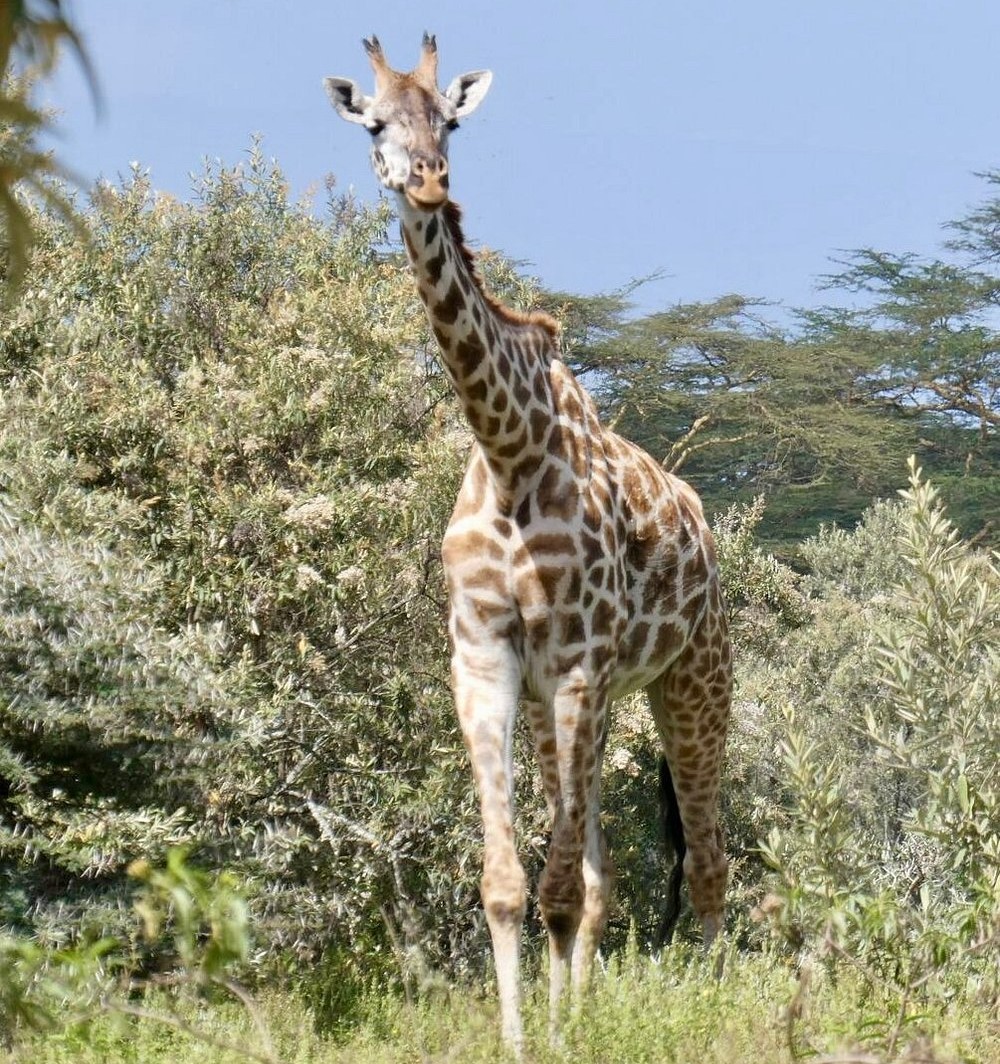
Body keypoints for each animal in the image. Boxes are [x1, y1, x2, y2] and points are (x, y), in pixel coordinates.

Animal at [325, 35, 732, 1055]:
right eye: (375, 125)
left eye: (452, 121)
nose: (427, 180)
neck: (509, 451)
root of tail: (706, 528)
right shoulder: (485, 660)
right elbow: (513, 886)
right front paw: (527, 1035)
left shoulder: (580, 663)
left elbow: (552, 890)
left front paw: (557, 1035)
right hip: (581, 703)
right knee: (599, 874)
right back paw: (579, 1003)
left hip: (693, 678)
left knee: (706, 858)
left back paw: (718, 1000)